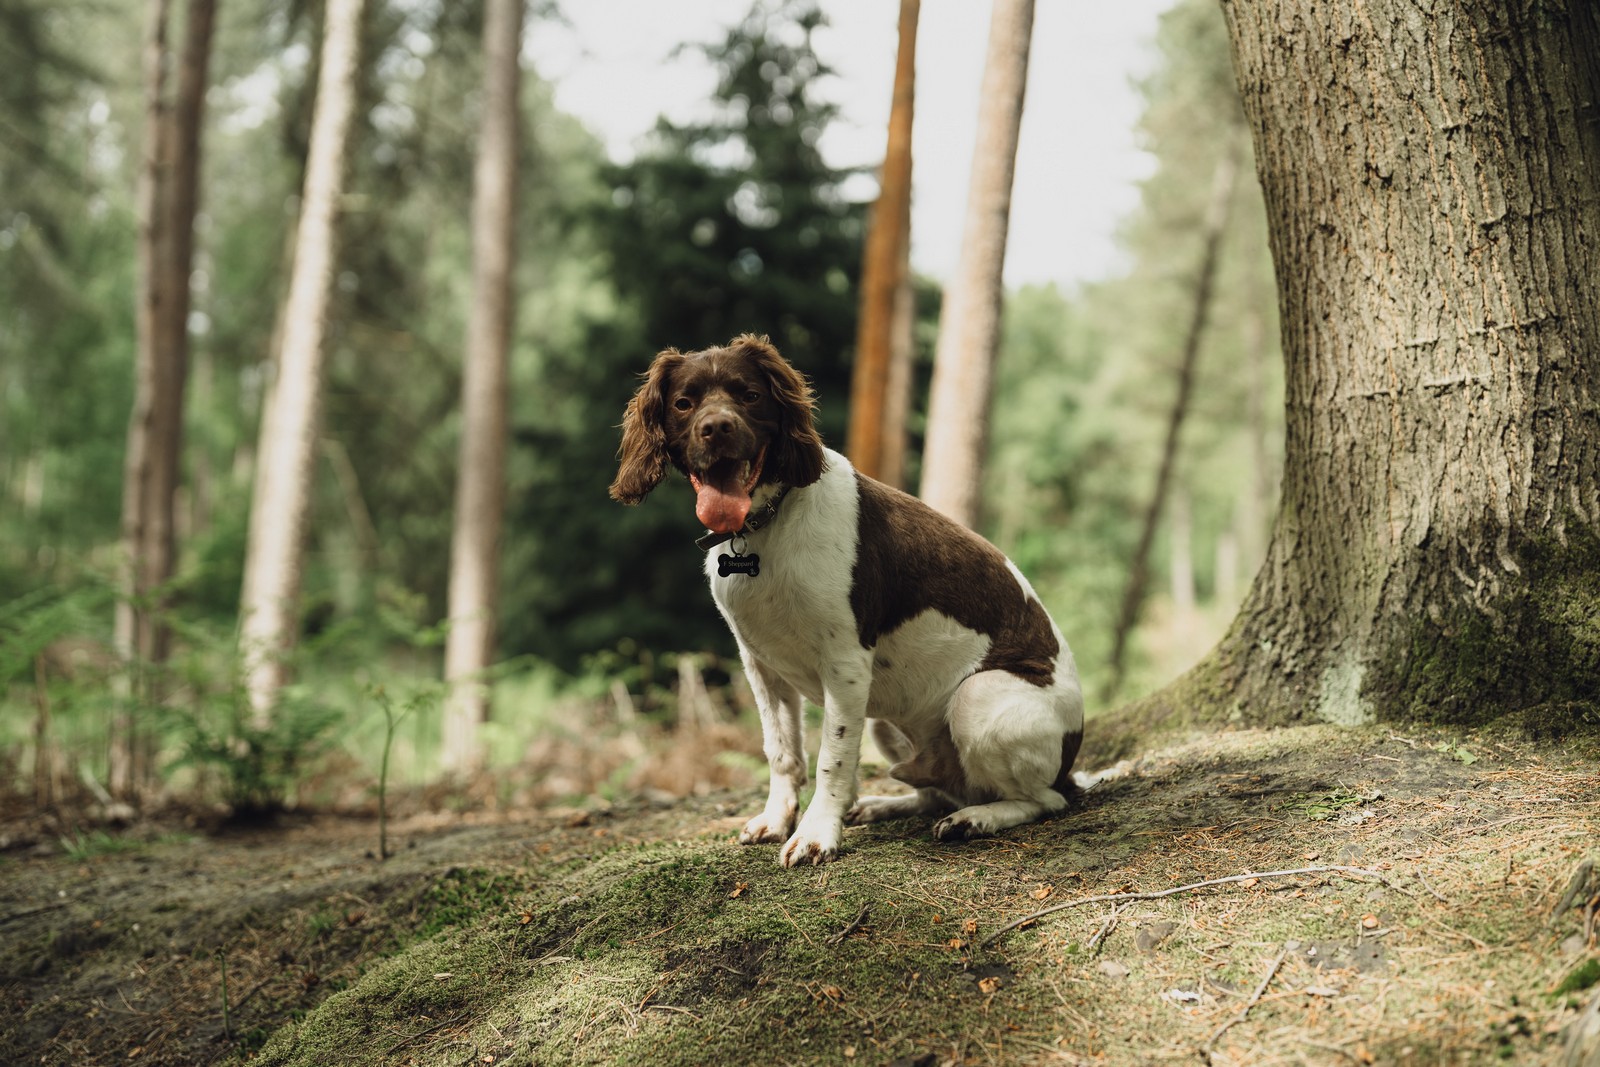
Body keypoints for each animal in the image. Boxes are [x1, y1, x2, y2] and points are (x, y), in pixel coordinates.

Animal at [611, 334, 1088, 870]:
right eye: (684, 403)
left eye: (750, 395)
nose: (717, 428)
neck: (767, 526)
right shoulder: (761, 665)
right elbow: (782, 752)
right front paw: (777, 821)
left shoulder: (845, 664)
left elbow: (831, 759)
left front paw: (816, 833)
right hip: (887, 718)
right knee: (935, 793)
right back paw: (886, 805)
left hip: (976, 696)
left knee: (1043, 800)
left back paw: (976, 819)